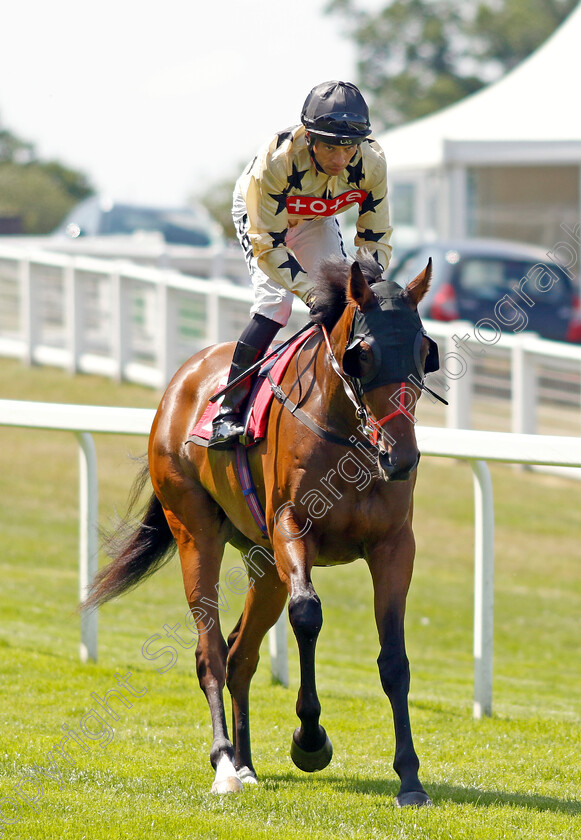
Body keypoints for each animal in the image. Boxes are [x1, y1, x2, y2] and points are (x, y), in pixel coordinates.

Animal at [84, 254, 438, 808]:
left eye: (424, 351)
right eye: (364, 354)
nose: (400, 457)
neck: (345, 434)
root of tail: (181, 380)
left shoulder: (394, 545)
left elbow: (394, 659)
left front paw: (409, 778)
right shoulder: (292, 526)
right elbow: (308, 615)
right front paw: (310, 740)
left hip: (264, 563)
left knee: (240, 653)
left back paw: (247, 763)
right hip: (196, 534)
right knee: (210, 652)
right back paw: (225, 764)